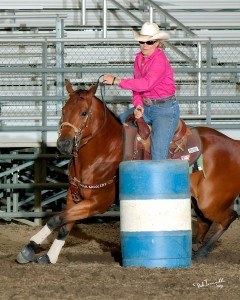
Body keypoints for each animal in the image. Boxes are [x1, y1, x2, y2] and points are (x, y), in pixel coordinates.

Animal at [16, 79, 238, 264]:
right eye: (63, 110)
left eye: (84, 113)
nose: (63, 144)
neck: (104, 151)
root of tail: (233, 143)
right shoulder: (74, 197)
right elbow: (64, 224)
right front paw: (48, 256)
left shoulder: (97, 203)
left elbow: (56, 219)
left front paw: (28, 249)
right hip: (198, 201)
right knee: (204, 222)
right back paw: (194, 247)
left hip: (211, 201)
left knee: (228, 217)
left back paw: (201, 252)